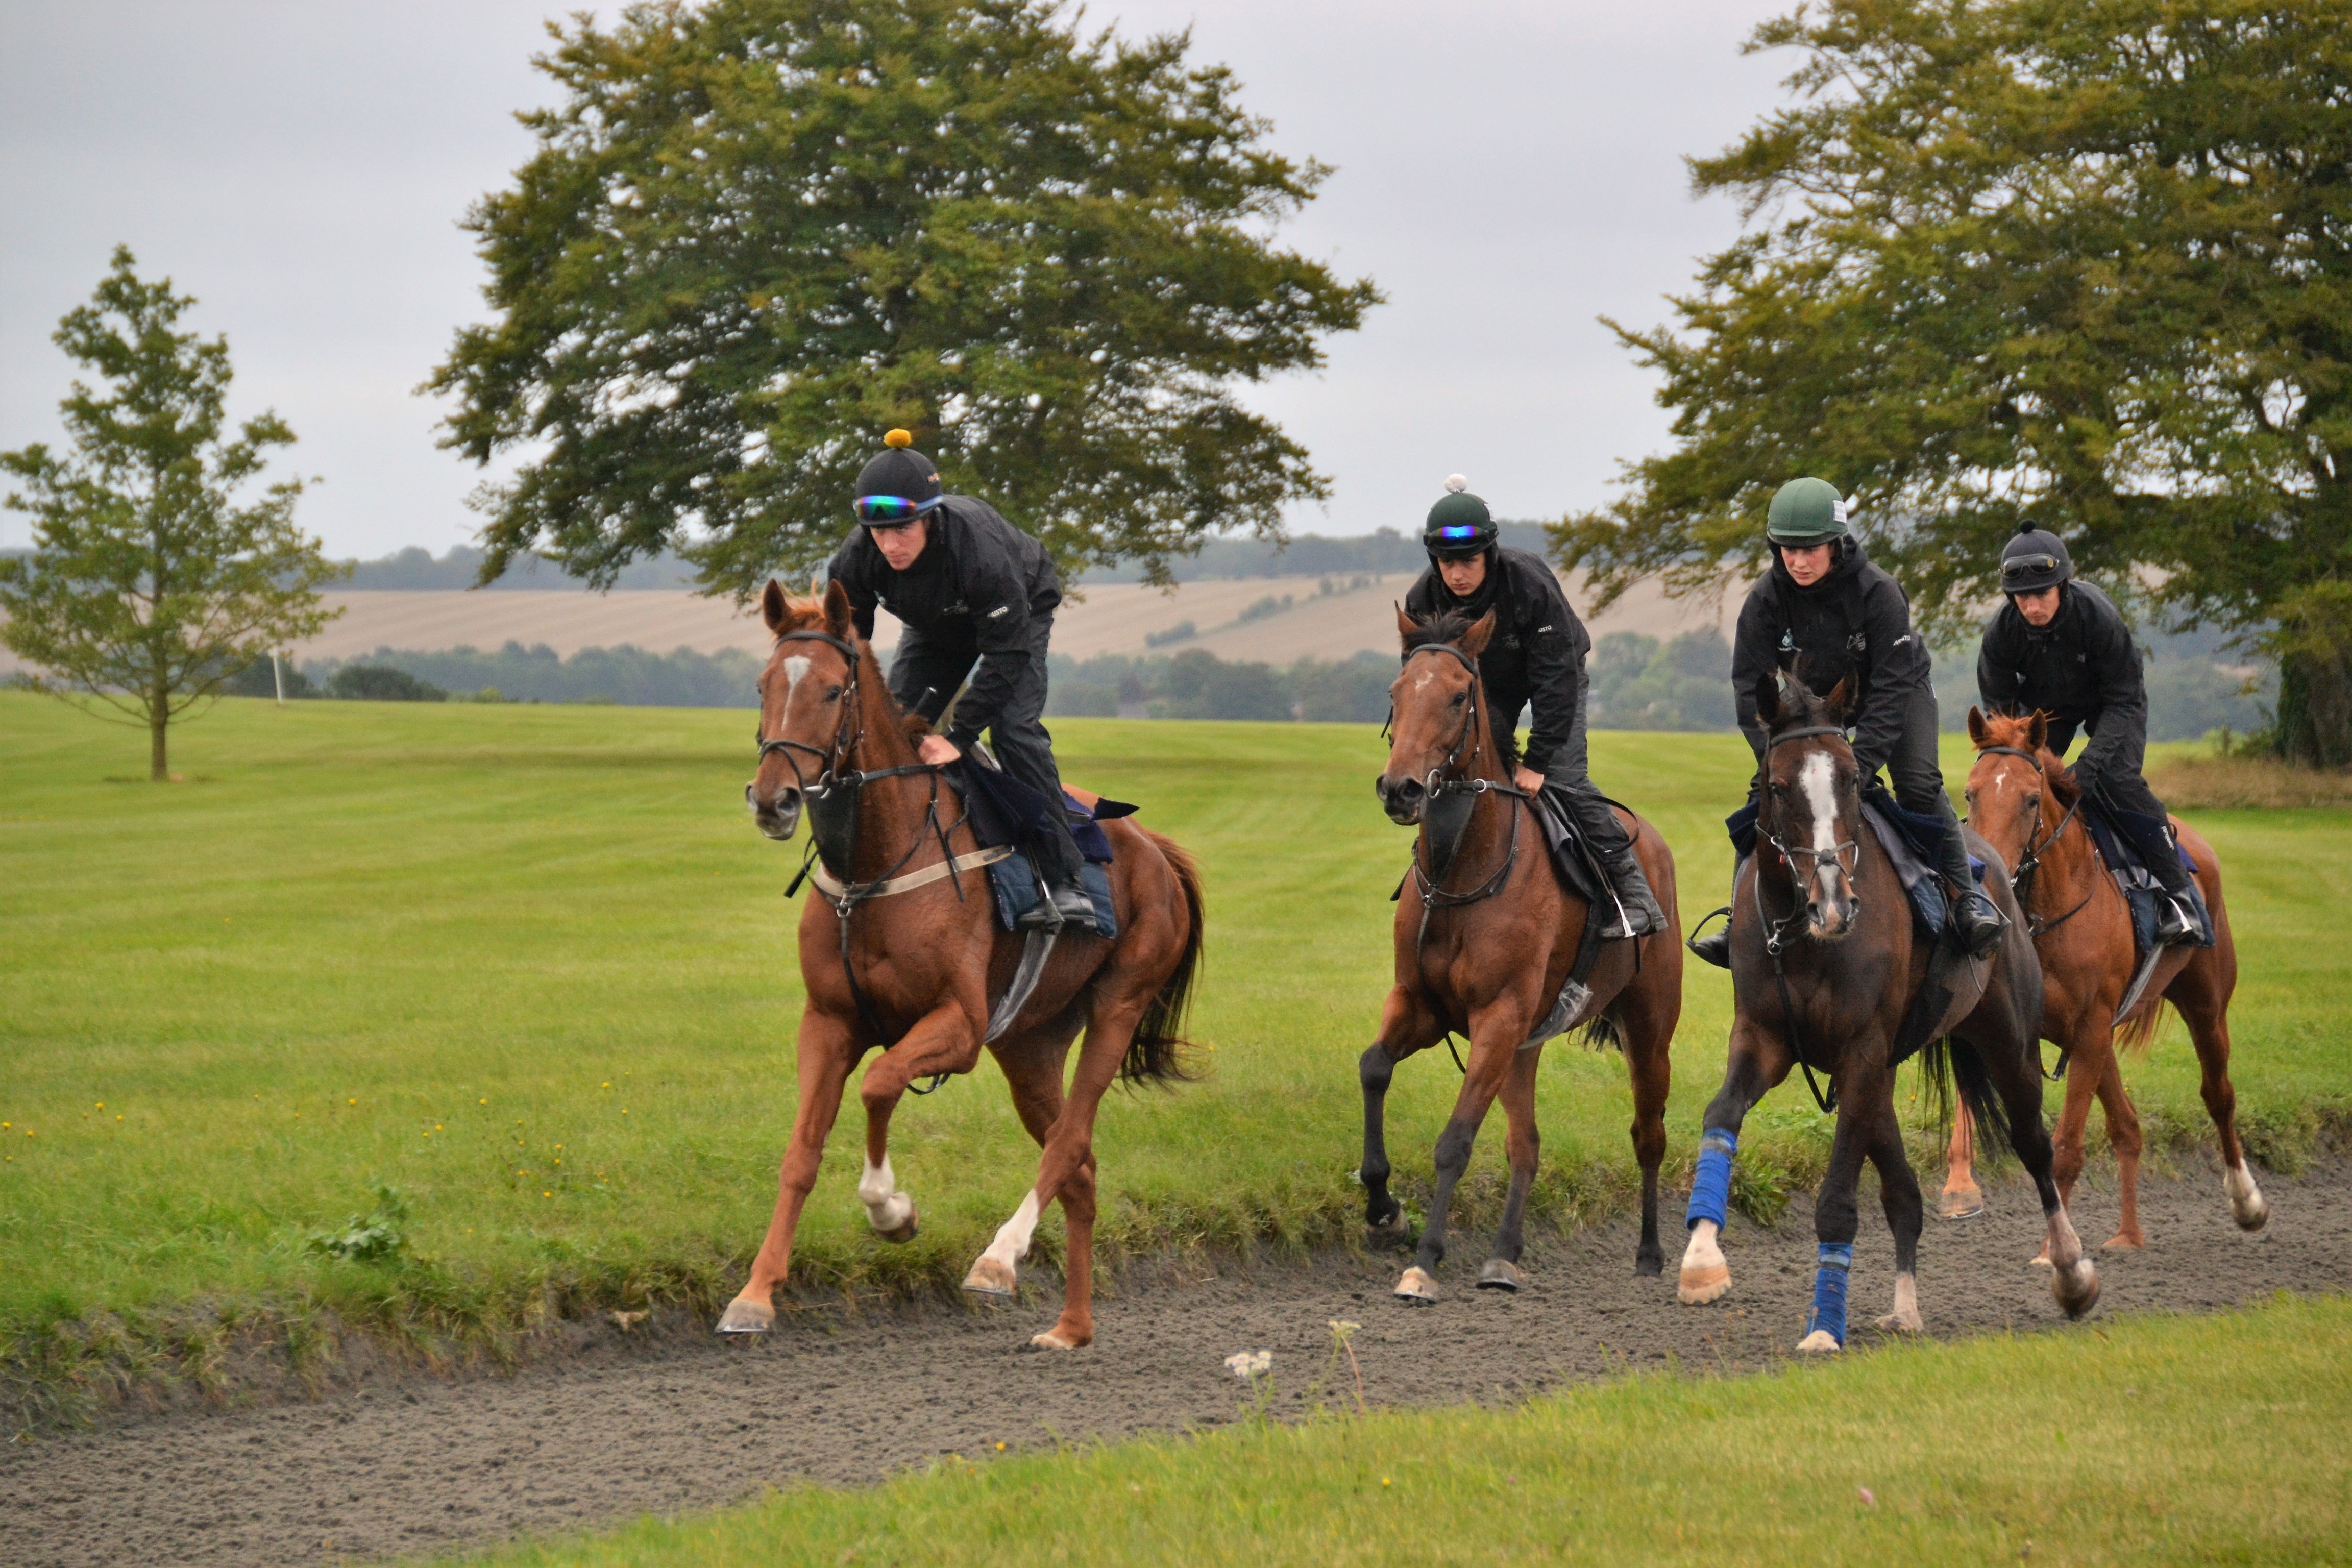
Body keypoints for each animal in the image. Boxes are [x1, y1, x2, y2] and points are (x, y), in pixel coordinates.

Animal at [715, 583, 1204, 1354]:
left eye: (831, 690)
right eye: (764, 686)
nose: (774, 799)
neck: (876, 865)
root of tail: (1155, 847)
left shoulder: (962, 1026)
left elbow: (881, 1084)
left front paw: (892, 1211)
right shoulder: (828, 1022)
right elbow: (801, 1153)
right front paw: (756, 1295)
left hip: (1118, 1006)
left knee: (1069, 1142)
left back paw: (999, 1261)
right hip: (1031, 1045)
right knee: (1082, 1170)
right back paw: (1071, 1327)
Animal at [1364, 611, 1693, 1297]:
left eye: (1458, 696)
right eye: (1396, 692)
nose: (1400, 789)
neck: (1463, 871)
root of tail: (1652, 842)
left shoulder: (1498, 1015)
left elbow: (1456, 1139)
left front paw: (1426, 1258)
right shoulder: (1423, 1004)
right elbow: (1374, 1068)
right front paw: (1384, 1212)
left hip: (1649, 1030)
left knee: (1649, 1135)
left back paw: (1650, 1252)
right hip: (1526, 1047)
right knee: (1528, 1144)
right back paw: (1504, 1253)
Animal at [1674, 668, 2098, 1354]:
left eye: (1851, 778)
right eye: (1777, 786)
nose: (1833, 903)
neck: (1807, 939)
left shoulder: (1862, 1050)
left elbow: (1837, 1202)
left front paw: (1824, 1327)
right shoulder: (1765, 1039)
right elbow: (1721, 1116)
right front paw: (1703, 1259)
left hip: (2008, 1041)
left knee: (2036, 1147)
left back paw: (2070, 1270)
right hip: (1883, 1074)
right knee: (1904, 1193)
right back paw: (1905, 1310)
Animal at [1938, 709, 2267, 1251]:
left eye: (2032, 799)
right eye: (1970, 794)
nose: (1990, 871)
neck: (2047, 914)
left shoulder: (2090, 1027)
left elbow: (2067, 1148)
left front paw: (2054, 1252)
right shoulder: (2024, 1030)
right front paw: (1961, 1190)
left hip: (2205, 1004)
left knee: (2219, 1095)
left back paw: (2246, 1200)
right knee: (2128, 1126)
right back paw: (2128, 1234)